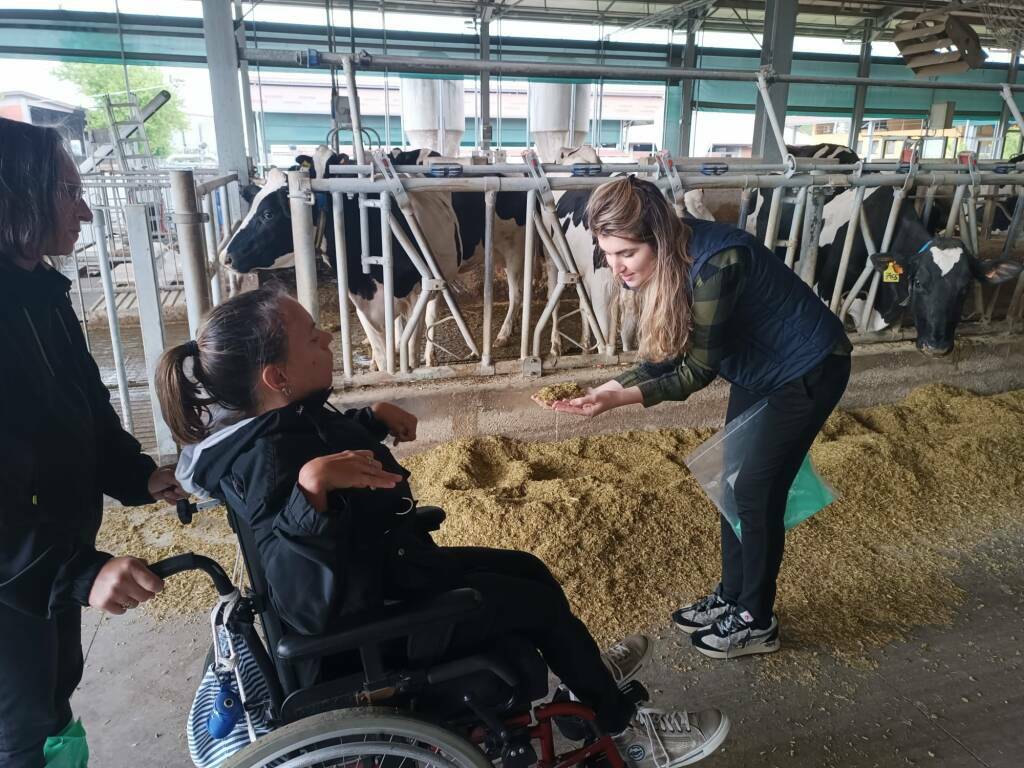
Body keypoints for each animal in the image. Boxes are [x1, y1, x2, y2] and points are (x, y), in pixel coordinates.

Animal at [226, 148, 528, 372]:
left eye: (268, 214)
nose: (226, 256)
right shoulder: (362, 302)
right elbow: (384, 353)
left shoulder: (414, 293)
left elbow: (409, 349)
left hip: (515, 248)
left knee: (515, 294)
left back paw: (503, 333)